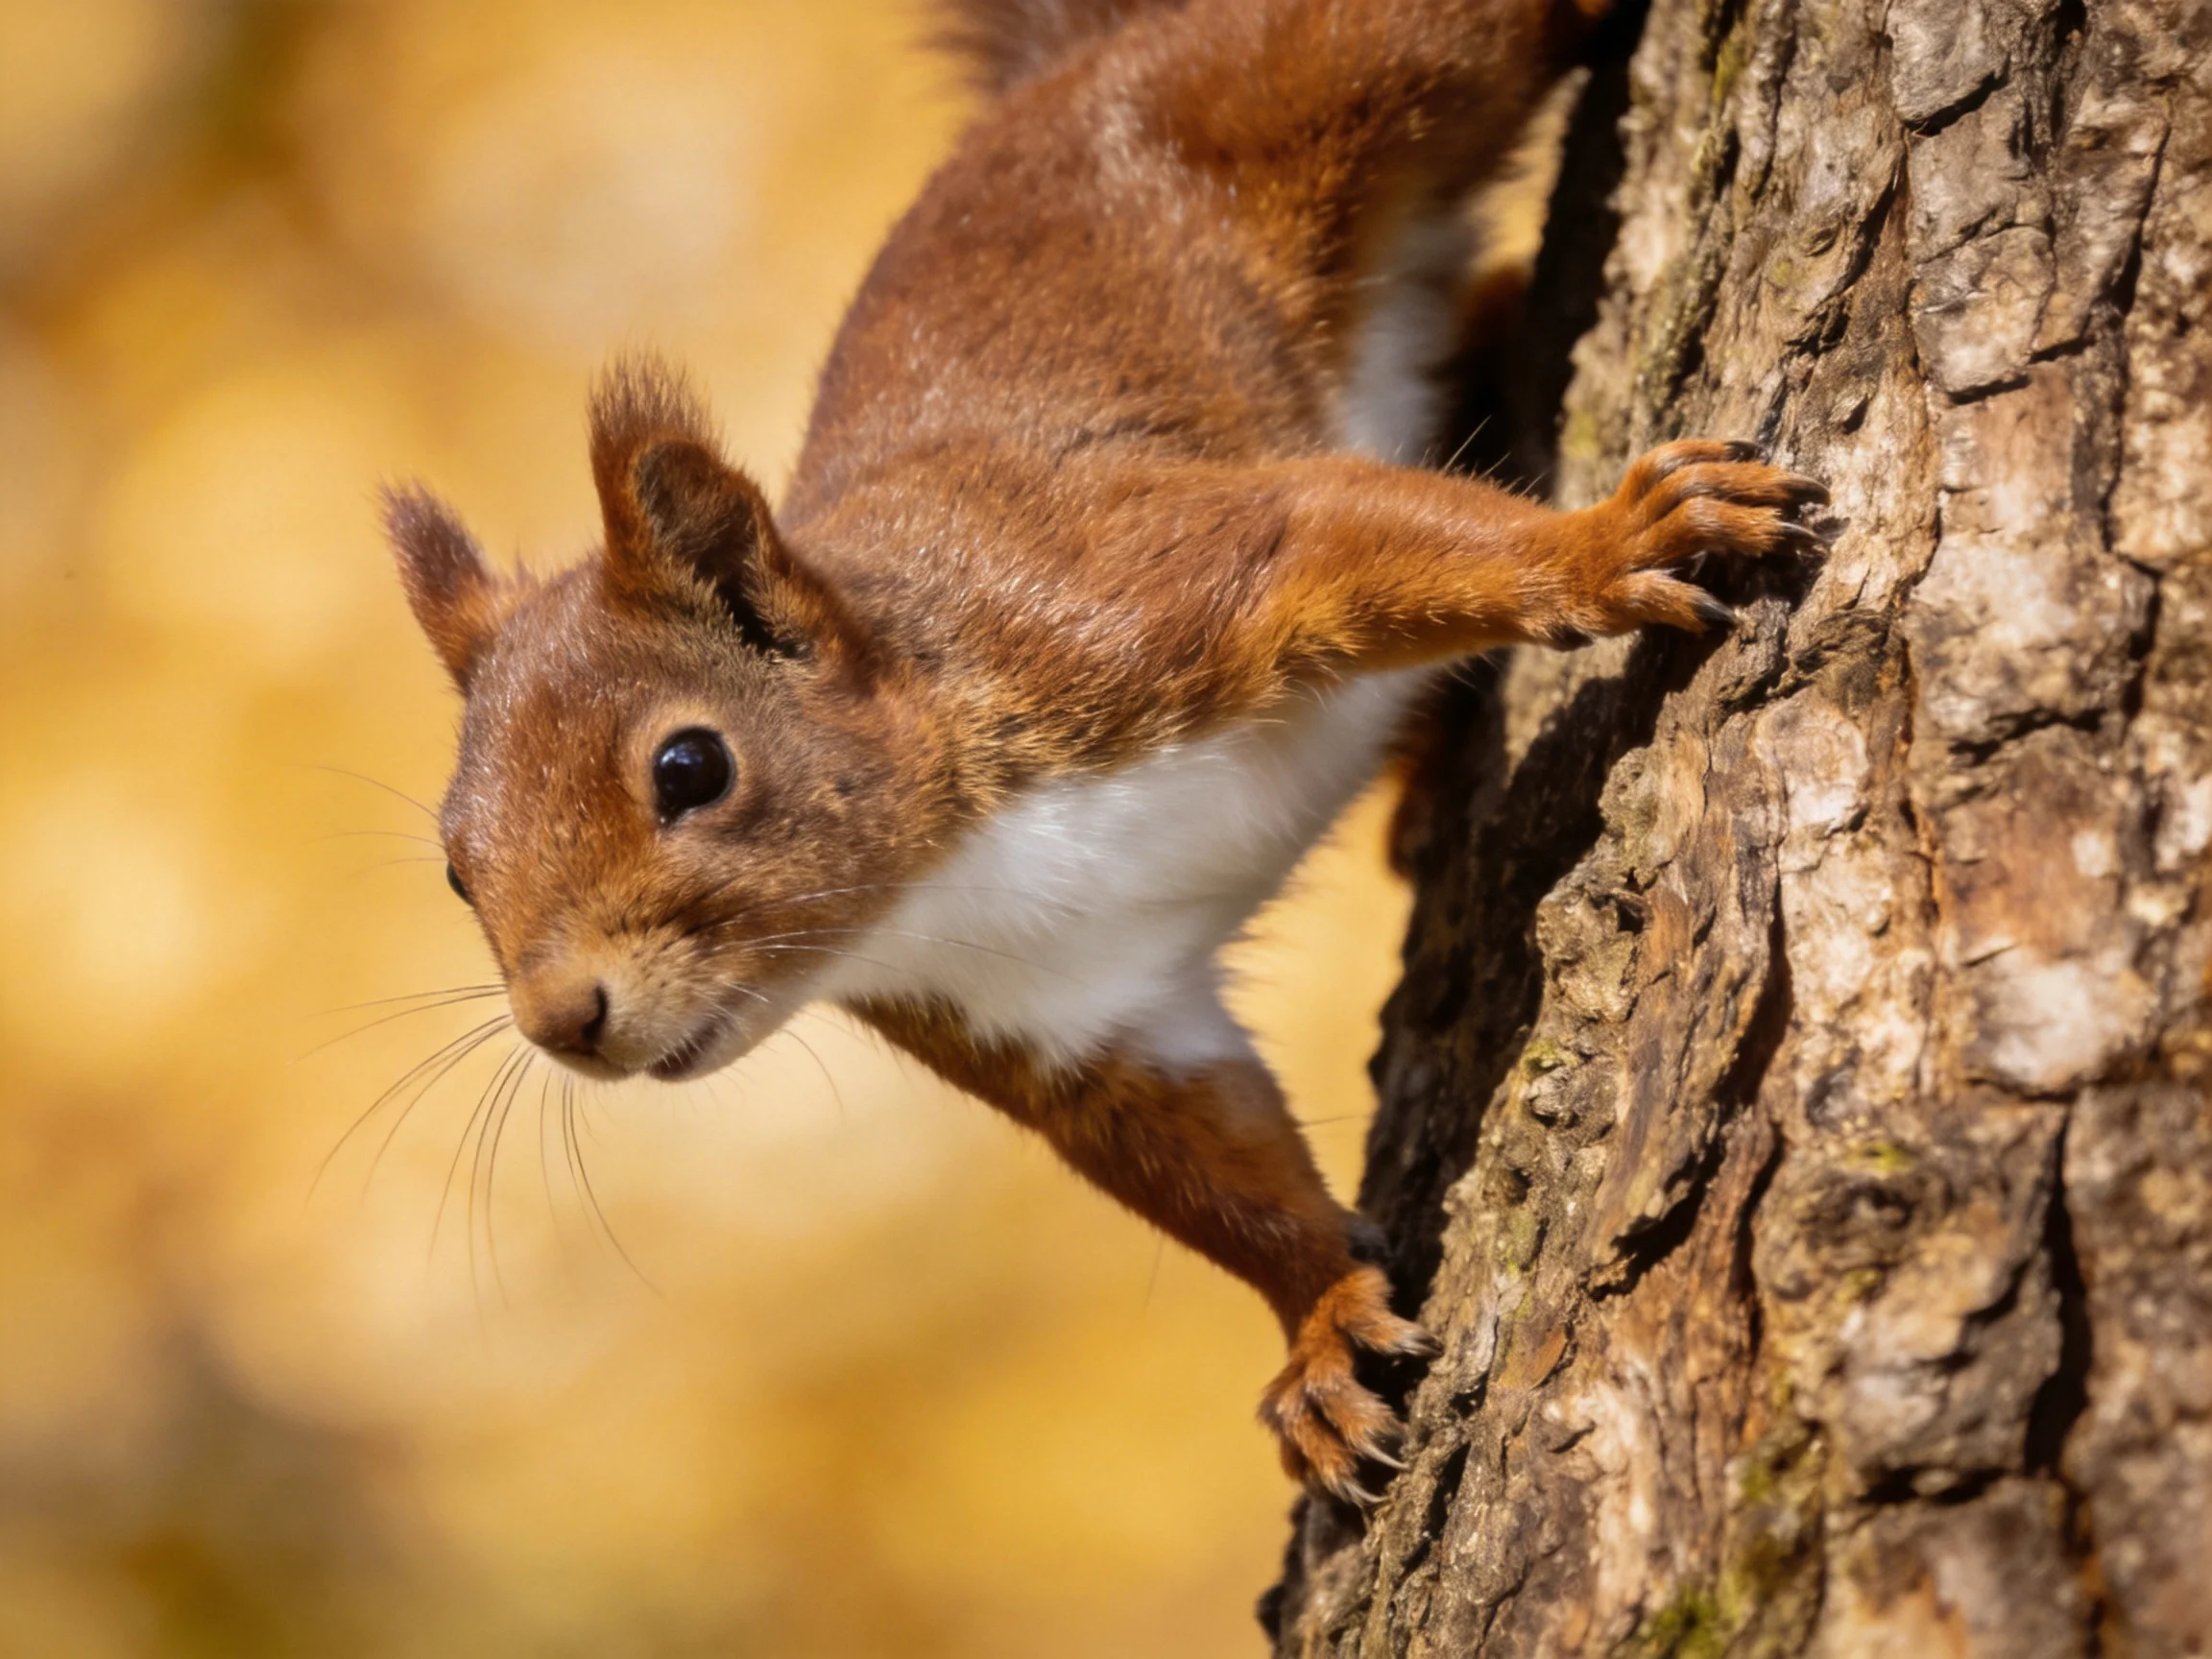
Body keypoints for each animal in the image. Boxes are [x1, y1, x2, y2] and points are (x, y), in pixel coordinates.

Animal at [384, 0, 1824, 1504]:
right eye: (456, 871)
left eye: (688, 769)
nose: (562, 1020)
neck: (952, 866)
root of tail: (1071, 70)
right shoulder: (1078, 1019)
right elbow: (1211, 1169)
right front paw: (1318, 1327)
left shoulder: (1131, 590)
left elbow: (1368, 534)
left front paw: (1609, 546)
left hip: (1329, 76)